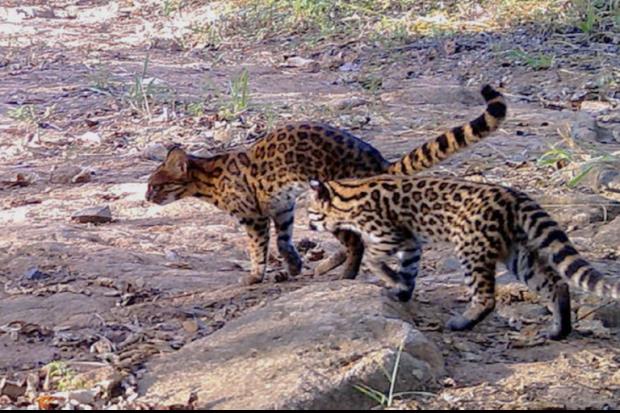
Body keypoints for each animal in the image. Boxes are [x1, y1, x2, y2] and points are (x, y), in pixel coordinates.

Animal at [148, 83, 506, 284]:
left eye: (155, 185)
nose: (147, 197)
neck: (209, 175)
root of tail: (377, 161)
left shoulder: (253, 217)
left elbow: (257, 248)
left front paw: (255, 276)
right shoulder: (282, 207)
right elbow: (284, 240)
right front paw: (293, 265)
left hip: (335, 204)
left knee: (355, 244)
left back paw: (345, 275)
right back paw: (326, 268)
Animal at [308, 174, 616, 338]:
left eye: (311, 211)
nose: (309, 225)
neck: (348, 194)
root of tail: (513, 195)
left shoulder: (390, 234)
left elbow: (374, 257)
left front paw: (390, 278)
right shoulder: (411, 243)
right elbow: (408, 270)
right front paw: (402, 290)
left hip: (471, 248)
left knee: (487, 297)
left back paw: (463, 322)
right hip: (519, 255)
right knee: (557, 283)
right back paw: (559, 329)